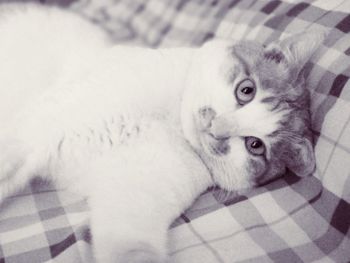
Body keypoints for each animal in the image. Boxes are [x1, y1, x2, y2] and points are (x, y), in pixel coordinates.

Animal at [0, 2, 324, 263]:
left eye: (255, 146)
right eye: (246, 90)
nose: (216, 128)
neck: (170, 122)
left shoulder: (134, 200)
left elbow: (131, 246)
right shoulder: (39, 126)